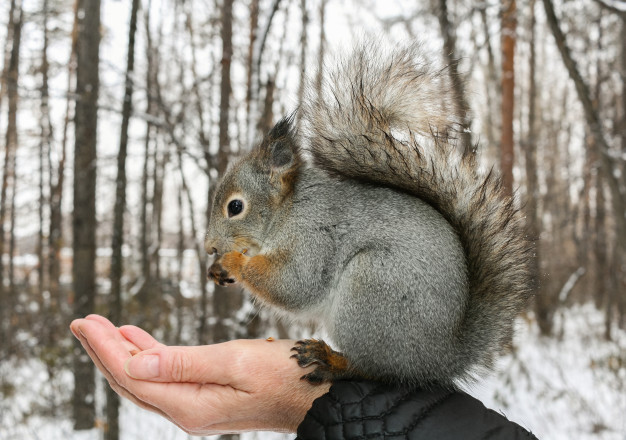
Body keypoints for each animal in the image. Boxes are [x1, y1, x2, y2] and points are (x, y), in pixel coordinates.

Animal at [205, 40, 532, 384]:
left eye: (235, 207)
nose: (209, 247)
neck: (286, 211)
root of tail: (439, 360)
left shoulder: (313, 236)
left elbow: (294, 284)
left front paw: (232, 262)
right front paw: (218, 269)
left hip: (370, 289)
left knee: (372, 368)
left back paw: (330, 360)